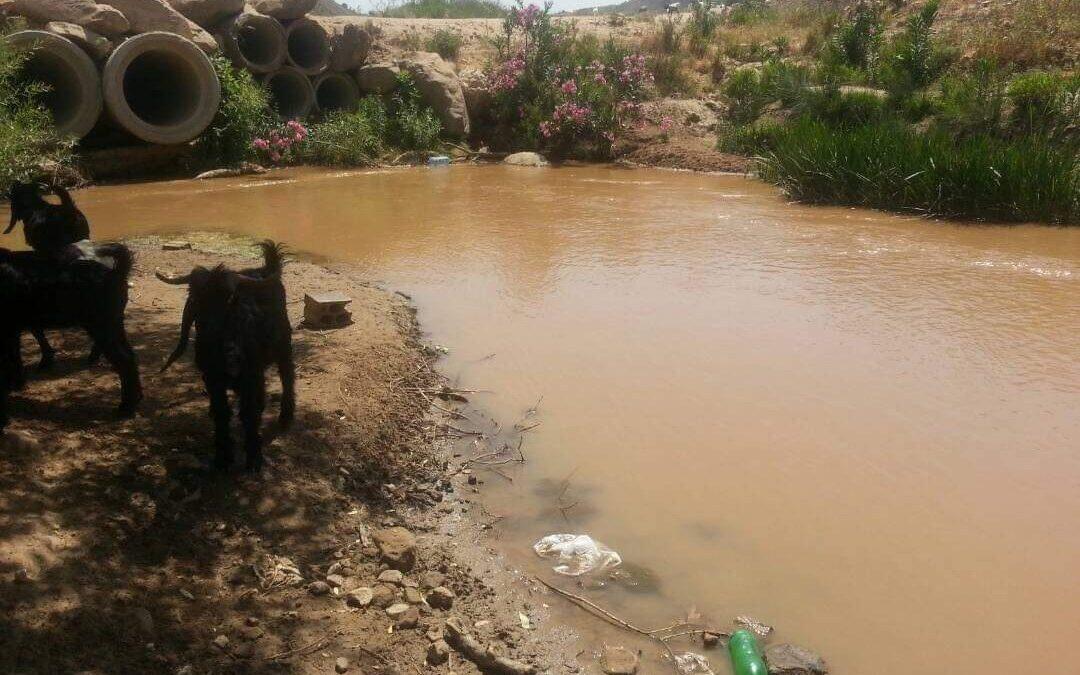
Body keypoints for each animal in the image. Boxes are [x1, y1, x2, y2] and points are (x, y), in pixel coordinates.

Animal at [0, 245, 143, 429]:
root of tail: (115, 272)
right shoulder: (12, 330)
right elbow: (14, 357)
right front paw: (16, 384)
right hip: (115, 325)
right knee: (130, 357)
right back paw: (135, 400)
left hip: (102, 327)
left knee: (124, 361)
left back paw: (125, 408)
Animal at [157, 240, 295, 468]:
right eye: (197, 299)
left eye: (229, 299)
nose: (210, 328)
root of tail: (266, 269)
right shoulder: (212, 379)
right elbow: (222, 412)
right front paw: (223, 456)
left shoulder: (250, 376)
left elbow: (249, 413)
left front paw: (254, 458)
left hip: (283, 345)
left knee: (287, 376)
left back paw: (286, 416)